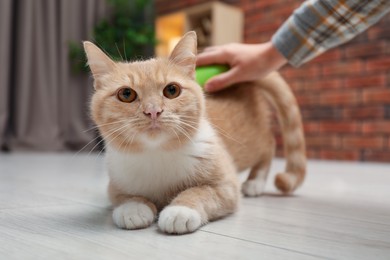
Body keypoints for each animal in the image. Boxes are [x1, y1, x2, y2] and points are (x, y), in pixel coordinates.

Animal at [84, 31, 306, 235]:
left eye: (171, 90)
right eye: (126, 94)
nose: (153, 111)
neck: (157, 153)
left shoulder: (226, 186)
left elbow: (200, 192)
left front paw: (180, 210)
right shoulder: (116, 183)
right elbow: (123, 196)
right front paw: (133, 207)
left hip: (251, 142)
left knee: (269, 143)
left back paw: (255, 182)